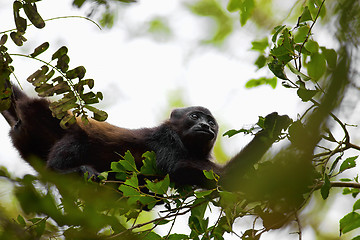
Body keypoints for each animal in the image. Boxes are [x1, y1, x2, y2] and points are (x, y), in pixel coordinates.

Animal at [0, 86, 290, 189]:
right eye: (196, 116)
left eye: (211, 123)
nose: (205, 126)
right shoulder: (166, 138)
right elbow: (175, 167)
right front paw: (271, 128)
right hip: (52, 118)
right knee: (78, 138)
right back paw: (65, 171)